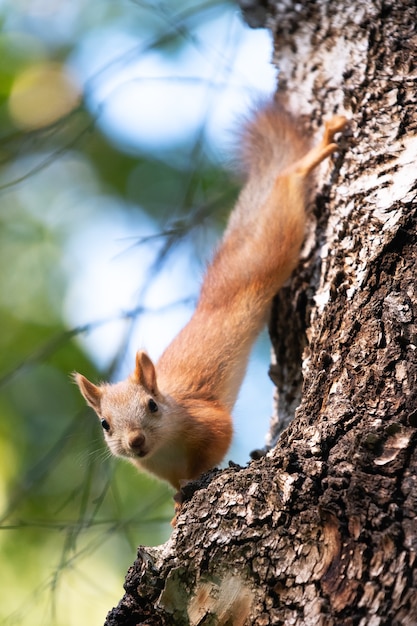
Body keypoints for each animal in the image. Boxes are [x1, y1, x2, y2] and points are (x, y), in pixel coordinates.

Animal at [74, 100, 344, 492]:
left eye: (152, 405)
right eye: (104, 424)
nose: (135, 441)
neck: (165, 447)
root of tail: (220, 284)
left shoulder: (207, 419)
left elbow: (215, 444)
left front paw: (197, 479)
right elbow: (174, 487)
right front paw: (177, 502)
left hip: (273, 243)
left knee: (286, 185)